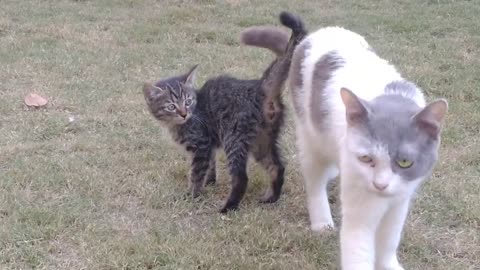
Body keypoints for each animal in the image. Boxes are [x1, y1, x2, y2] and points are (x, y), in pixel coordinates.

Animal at [143, 12, 308, 213]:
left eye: (188, 102)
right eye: (171, 106)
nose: (183, 113)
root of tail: (259, 87)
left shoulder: (201, 144)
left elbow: (196, 173)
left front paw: (192, 194)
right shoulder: (209, 146)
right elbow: (210, 166)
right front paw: (210, 182)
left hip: (234, 138)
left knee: (241, 178)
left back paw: (228, 207)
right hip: (263, 140)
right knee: (277, 167)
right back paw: (271, 198)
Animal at [286, 25, 448, 268]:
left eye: (404, 162)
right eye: (365, 158)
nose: (380, 185)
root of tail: (323, 30)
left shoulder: (399, 203)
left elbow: (389, 240)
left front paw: (389, 264)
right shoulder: (360, 205)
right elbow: (358, 247)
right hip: (309, 137)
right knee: (315, 182)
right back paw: (322, 222)